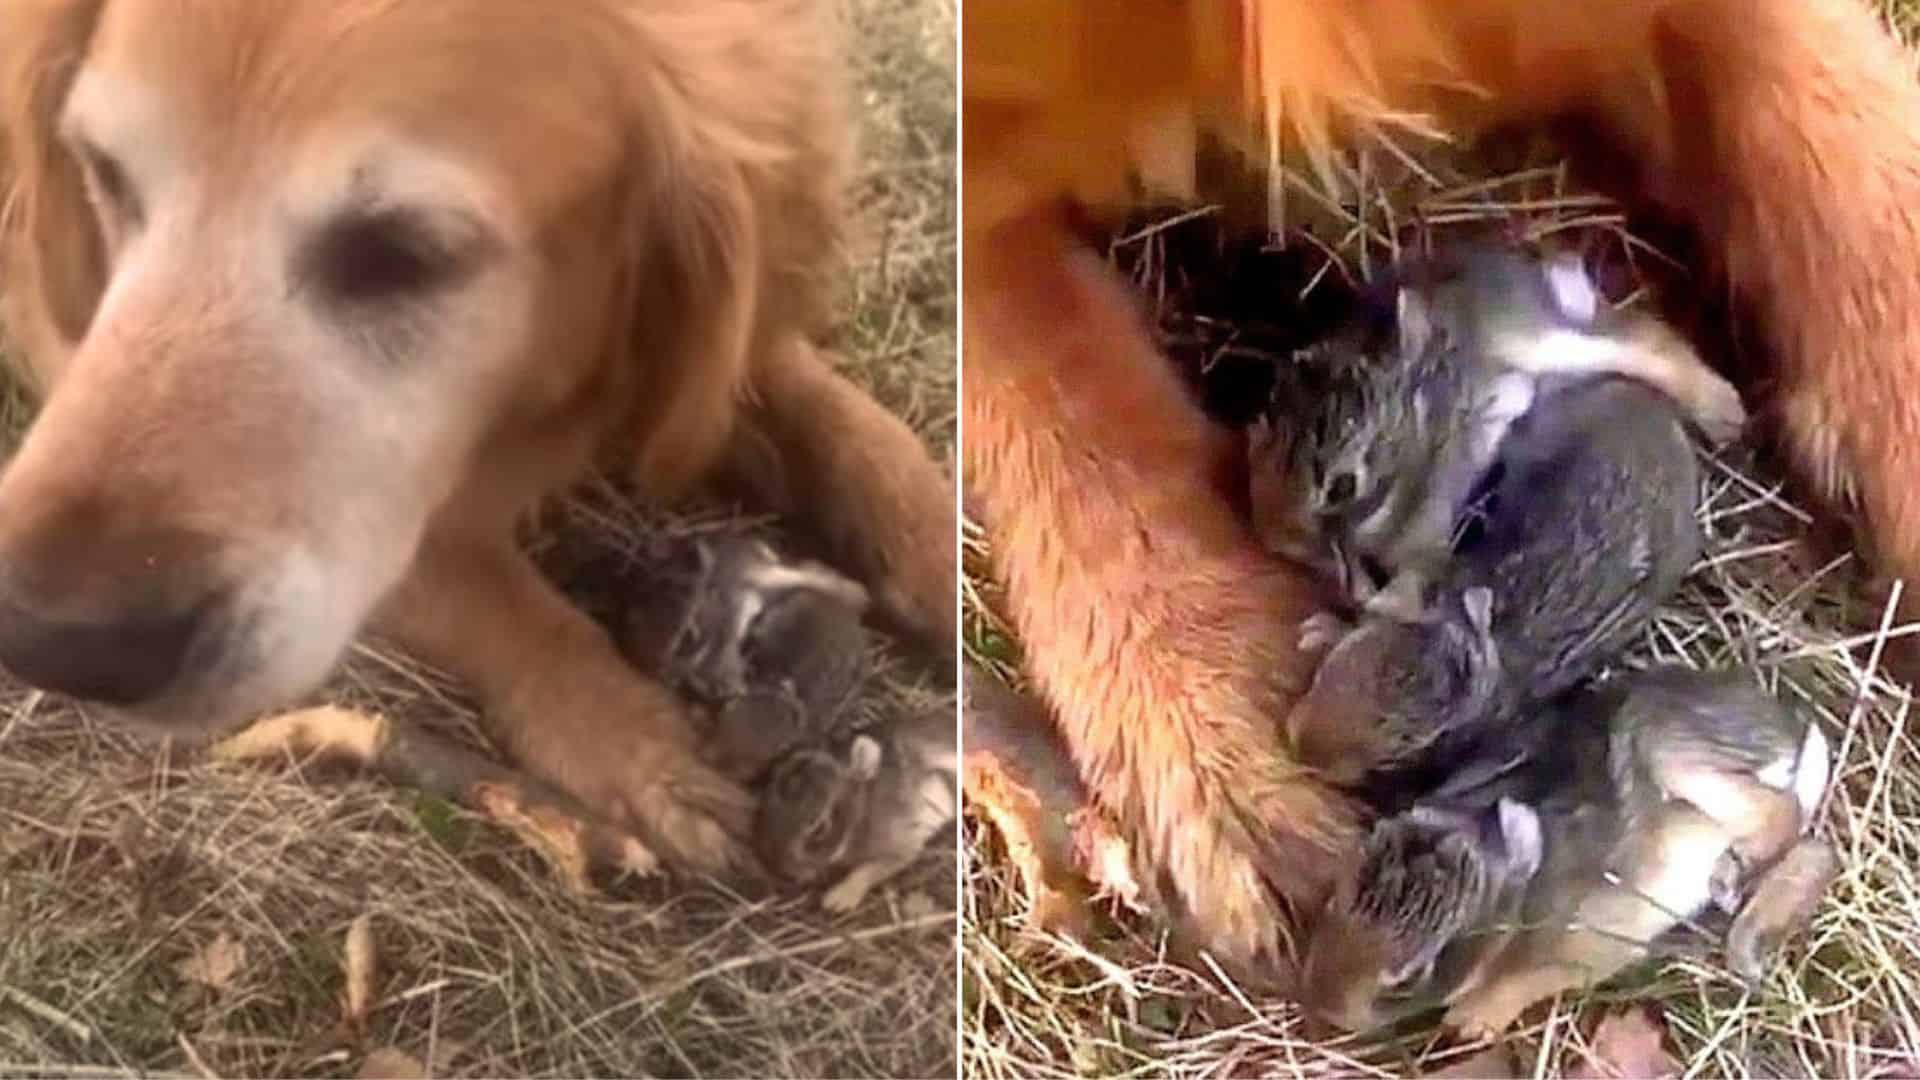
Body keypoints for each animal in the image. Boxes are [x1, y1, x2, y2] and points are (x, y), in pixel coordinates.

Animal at [752, 707, 956, 907]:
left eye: (820, 828)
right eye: (765, 807)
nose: (786, 870)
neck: (863, 806)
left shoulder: (900, 846)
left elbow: (868, 870)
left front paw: (837, 899)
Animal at [1305, 664, 1827, 1037]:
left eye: (1408, 980)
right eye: (1333, 900)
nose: (1324, 1005)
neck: (1511, 901)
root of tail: (1794, 731)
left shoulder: (1589, 944)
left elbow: (1537, 980)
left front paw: (1473, 1021)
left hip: (1676, 754)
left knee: (1782, 815)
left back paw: (1731, 891)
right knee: (1813, 850)